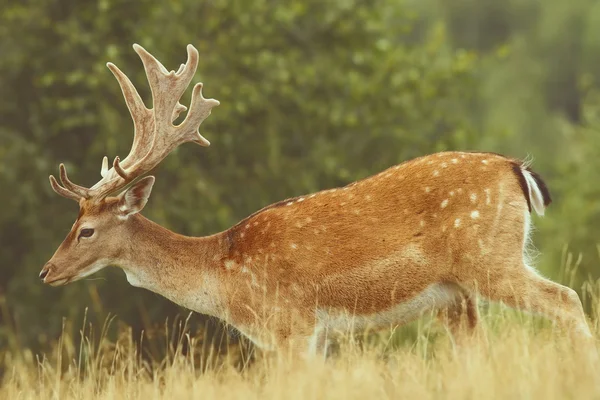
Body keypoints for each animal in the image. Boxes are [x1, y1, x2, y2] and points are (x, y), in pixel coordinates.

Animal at [39, 43, 592, 356]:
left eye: (86, 229)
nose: (46, 271)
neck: (223, 278)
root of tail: (516, 168)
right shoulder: (318, 335)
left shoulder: (292, 325)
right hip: (459, 295)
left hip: (489, 259)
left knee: (566, 299)